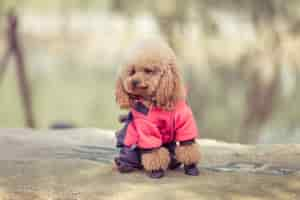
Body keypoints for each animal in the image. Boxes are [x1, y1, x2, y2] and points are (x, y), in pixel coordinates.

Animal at [113, 38, 200, 178]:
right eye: (132, 72)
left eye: (148, 70)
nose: (134, 82)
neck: (157, 101)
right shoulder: (146, 128)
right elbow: (153, 152)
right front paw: (156, 171)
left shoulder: (185, 121)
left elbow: (188, 145)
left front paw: (191, 167)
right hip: (129, 150)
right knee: (128, 156)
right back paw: (124, 166)